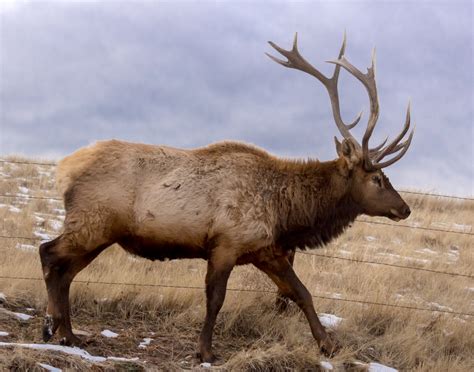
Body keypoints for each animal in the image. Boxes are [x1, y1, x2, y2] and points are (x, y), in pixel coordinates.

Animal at [39, 33, 412, 362]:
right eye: (377, 178)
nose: (405, 208)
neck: (287, 215)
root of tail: (65, 168)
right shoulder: (226, 243)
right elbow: (215, 299)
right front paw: (205, 351)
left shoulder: (266, 250)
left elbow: (301, 293)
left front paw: (329, 346)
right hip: (93, 221)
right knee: (48, 253)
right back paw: (53, 327)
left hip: (101, 231)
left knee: (66, 270)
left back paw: (68, 334)